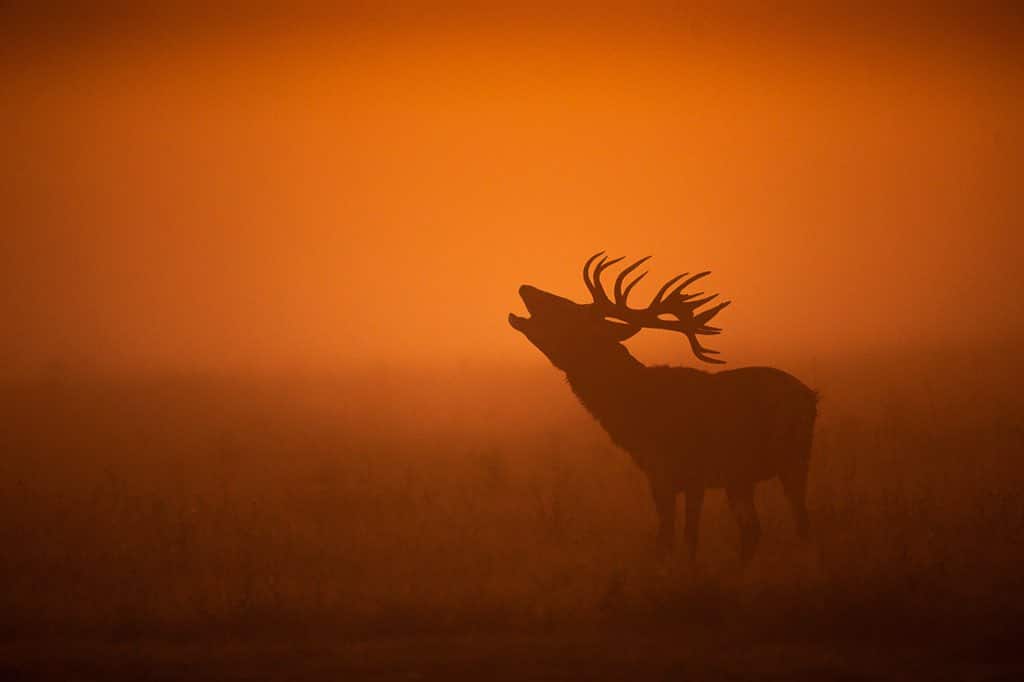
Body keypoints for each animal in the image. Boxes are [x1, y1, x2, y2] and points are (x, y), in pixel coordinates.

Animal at [508, 253, 817, 565]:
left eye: (569, 311)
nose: (526, 287)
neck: (636, 411)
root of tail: (811, 397)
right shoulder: (671, 476)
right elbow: (676, 539)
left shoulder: (683, 472)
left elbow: (679, 539)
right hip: (743, 477)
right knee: (754, 530)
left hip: (793, 459)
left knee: (799, 523)